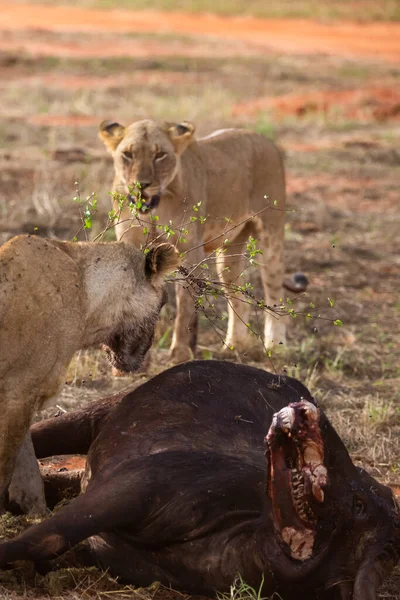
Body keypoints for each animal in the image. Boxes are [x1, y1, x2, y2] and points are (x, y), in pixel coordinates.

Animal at [0, 358, 400, 596]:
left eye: (359, 505)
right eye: (363, 479)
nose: (307, 407)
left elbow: (47, 542)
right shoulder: (135, 485)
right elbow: (46, 536)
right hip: (96, 412)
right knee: (36, 435)